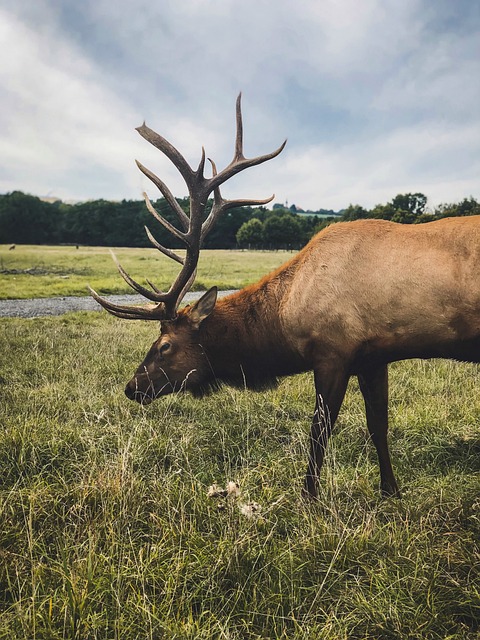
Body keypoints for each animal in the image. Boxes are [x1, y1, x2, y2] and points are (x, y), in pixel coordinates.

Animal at [91, 94, 480, 500]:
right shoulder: (374, 356)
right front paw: (390, 490)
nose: (132, 387)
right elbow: (378, 425)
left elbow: (319, 432)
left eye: (165, 345)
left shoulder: (332, 352)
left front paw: (309, 496)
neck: (286, 317)